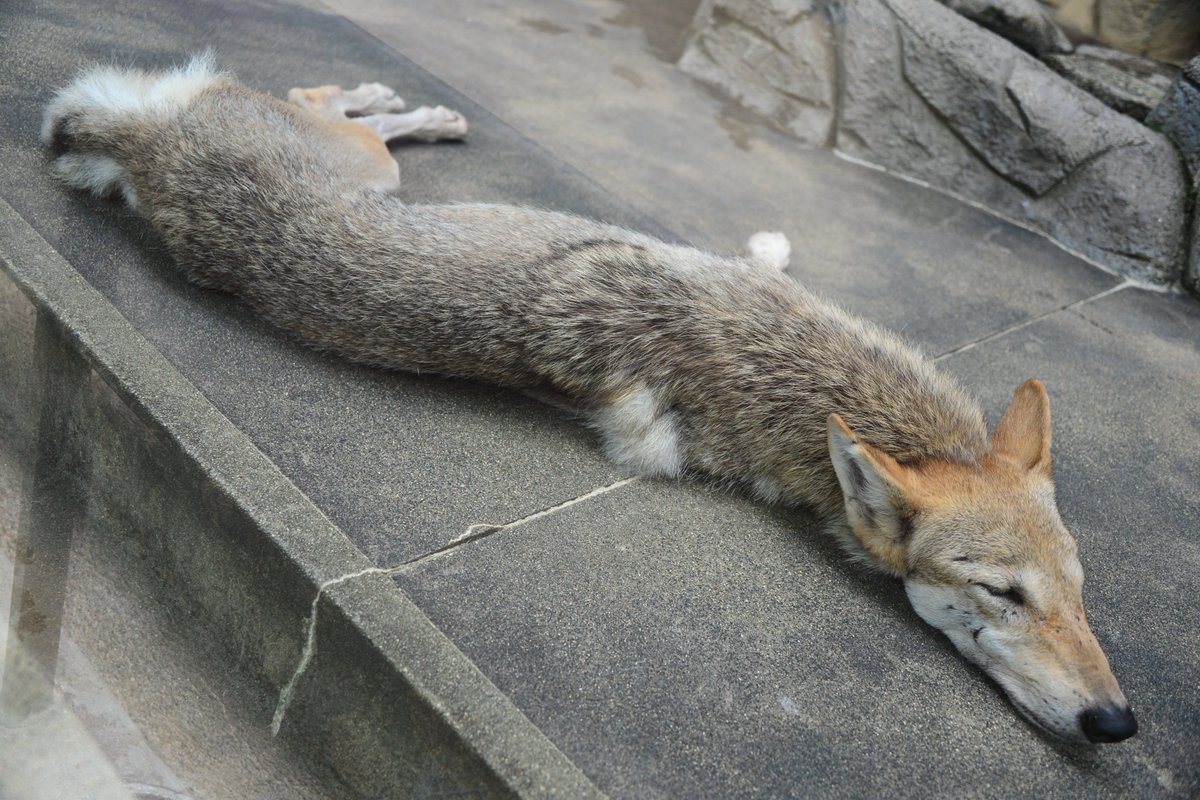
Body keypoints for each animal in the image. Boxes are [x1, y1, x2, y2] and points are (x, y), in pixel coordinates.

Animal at [42, 54, 1137, 743]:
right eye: (1003, 594)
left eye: (1079, 590)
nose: (1117, 721)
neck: (784, 367)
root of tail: (147, 149)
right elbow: (762, 252)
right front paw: (771, 242)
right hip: (360, 156)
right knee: (333, 95)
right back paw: (415, 103)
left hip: (363, 169)